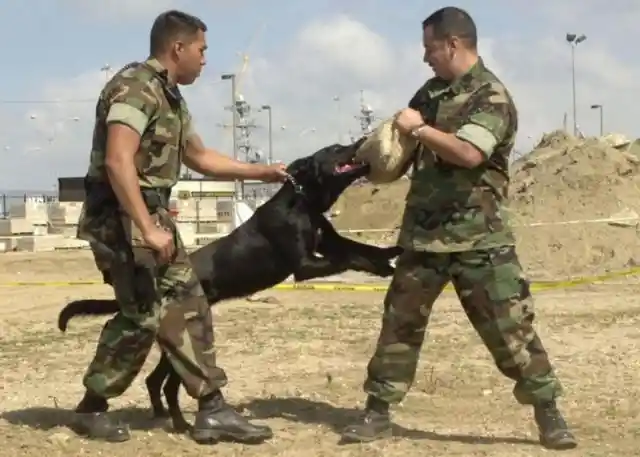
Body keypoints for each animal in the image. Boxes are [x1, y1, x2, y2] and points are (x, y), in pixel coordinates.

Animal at [58, 139, 400, 432]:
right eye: (335, 149)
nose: (361, 141)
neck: (303, 201)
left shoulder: (330, 243)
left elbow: (360, 249)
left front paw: (390, 256)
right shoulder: (305, 265)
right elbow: (349, 258)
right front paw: (386, 264)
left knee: (156, 382)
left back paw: (167, 418)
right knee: (167, 384)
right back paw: (182, 424)